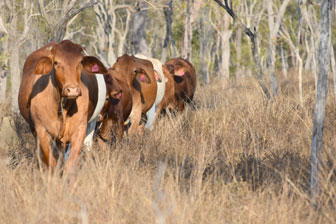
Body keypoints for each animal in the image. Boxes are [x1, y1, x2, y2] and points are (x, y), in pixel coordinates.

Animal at [18, 40, 106, 173]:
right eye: (56, 63)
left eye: (80, 62)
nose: (72, 90)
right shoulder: (42, 131)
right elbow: (51, 163)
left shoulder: (80, 129)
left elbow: (70, 164)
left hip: (92, 122)